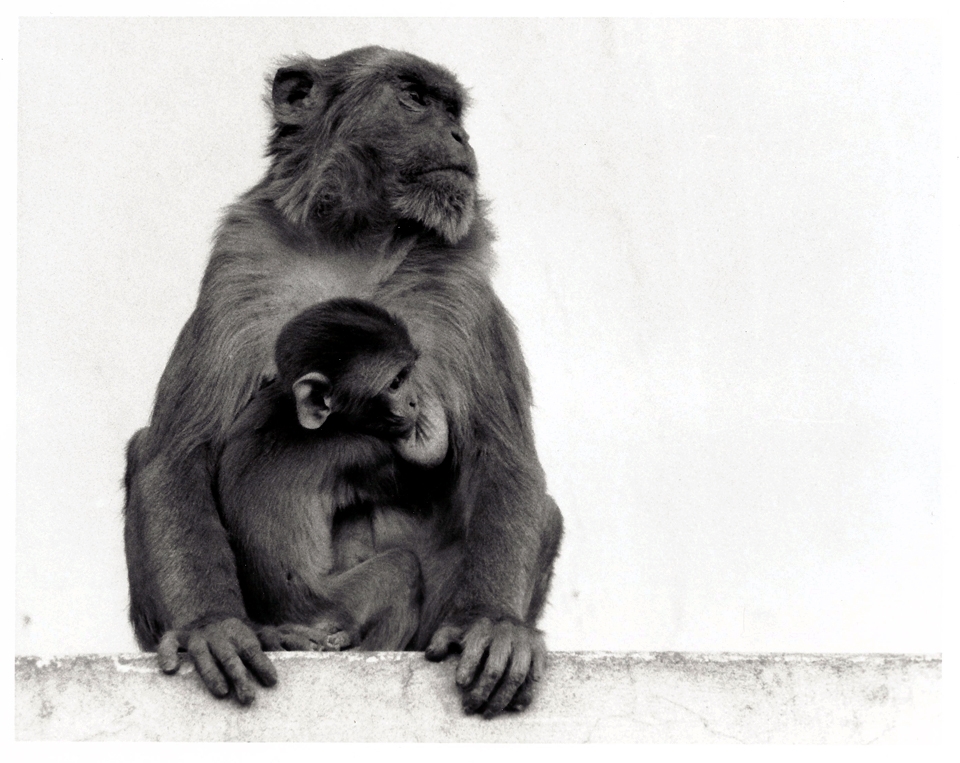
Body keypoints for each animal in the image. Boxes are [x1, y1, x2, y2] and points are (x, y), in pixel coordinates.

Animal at [216, 297, 449, 654]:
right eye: (395, 382)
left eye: (407, 375)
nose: (412, 402)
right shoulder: (362, 453)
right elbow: (419, 486)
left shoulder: (258, 406)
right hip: (335, 606)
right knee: (402, 568)